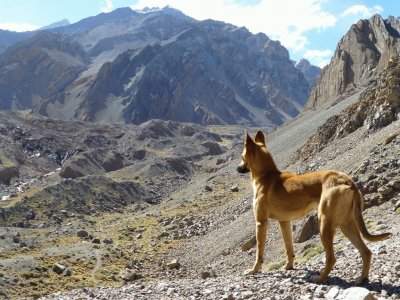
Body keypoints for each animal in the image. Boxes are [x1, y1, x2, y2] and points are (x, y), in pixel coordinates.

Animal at [238, 130, 390, 282]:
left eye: (242, 155)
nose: (237, 168)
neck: (265, 175)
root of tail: (348, 181)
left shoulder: (261, 222)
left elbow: (259, 251)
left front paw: (253, 270)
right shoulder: (285, 222)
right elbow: (289, 248)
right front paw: (289, 267)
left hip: (324, 221)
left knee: (332, 258)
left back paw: (319, 279)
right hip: (347, 224)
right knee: (366, 252)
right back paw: (362, 278)